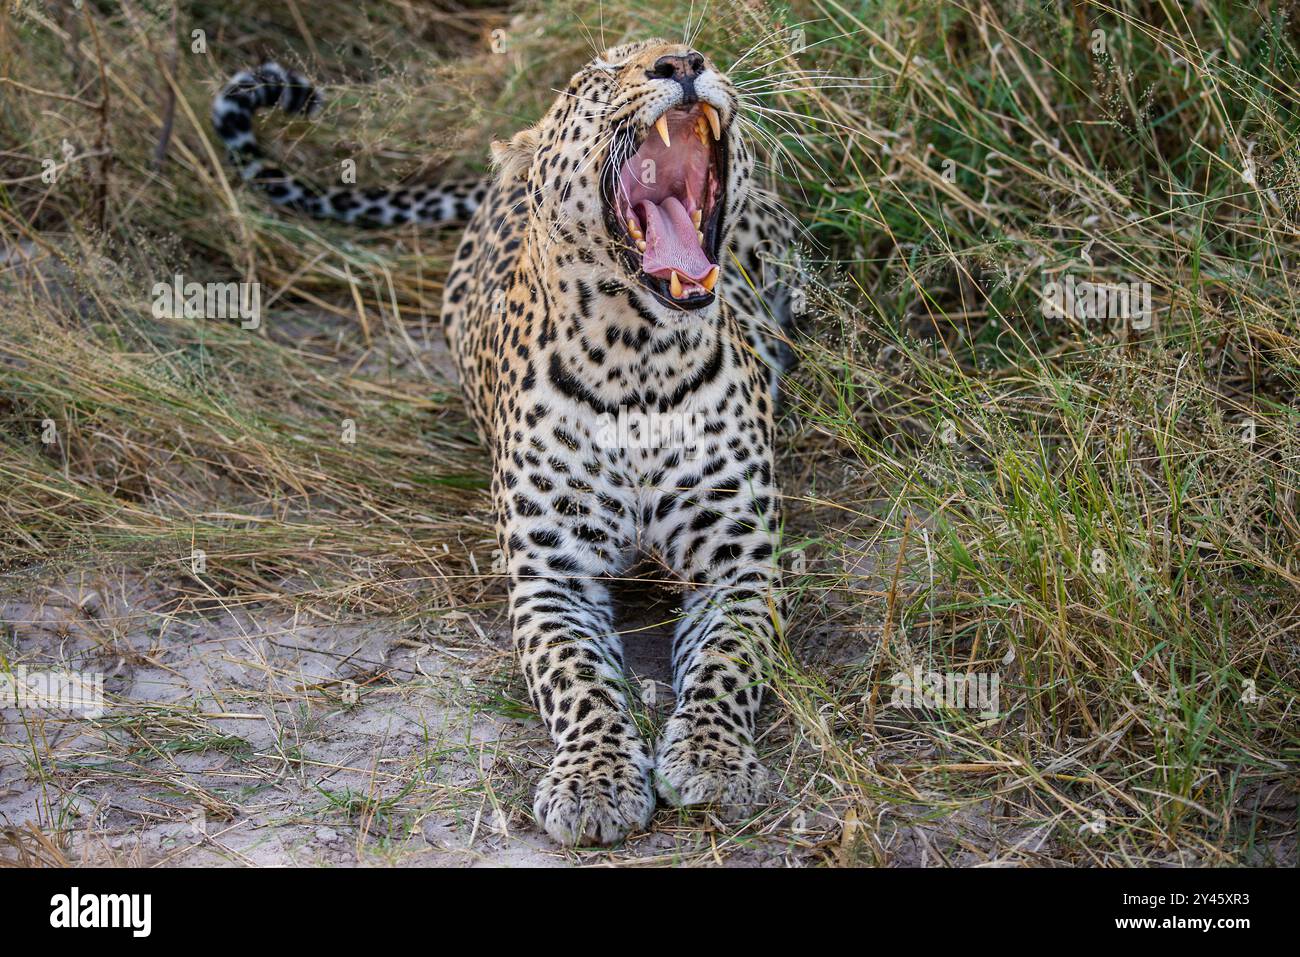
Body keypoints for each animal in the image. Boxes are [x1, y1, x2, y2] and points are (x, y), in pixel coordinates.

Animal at [213, 40, 806, 847]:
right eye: (596, 80)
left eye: (688, 49)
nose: (683, 62)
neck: (642, 362)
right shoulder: (549, 578)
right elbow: (578, 679)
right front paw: (595, 781)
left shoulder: (737, 565)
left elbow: (727, 662)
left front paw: (712, 760)